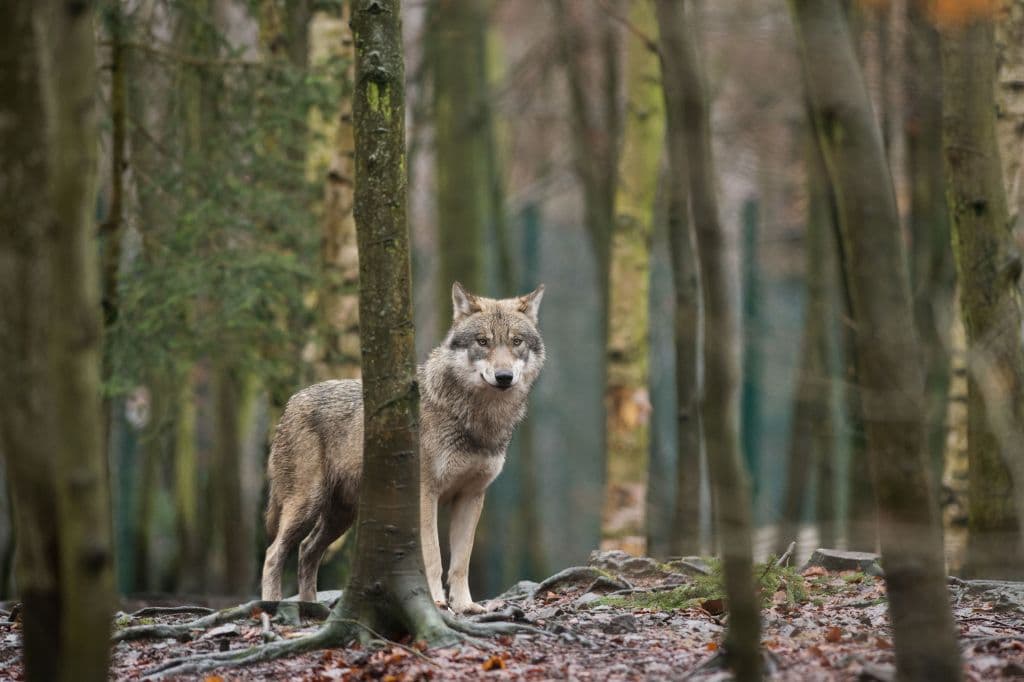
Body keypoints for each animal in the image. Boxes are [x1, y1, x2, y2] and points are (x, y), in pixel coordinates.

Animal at [260, 282, 545, 613]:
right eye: (483, 342)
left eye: (516, 342)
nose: (504, 377)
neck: (476, 419)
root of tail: (292, 401)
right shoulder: (425, 494)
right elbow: (433, 557)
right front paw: (436, 602)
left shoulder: (471, 496)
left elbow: (461, 562)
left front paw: (465, 606)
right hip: (307, 505)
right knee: (274, 553)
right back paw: (272, 605)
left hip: (341, 516)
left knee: (307, 551)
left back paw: (312, 607)